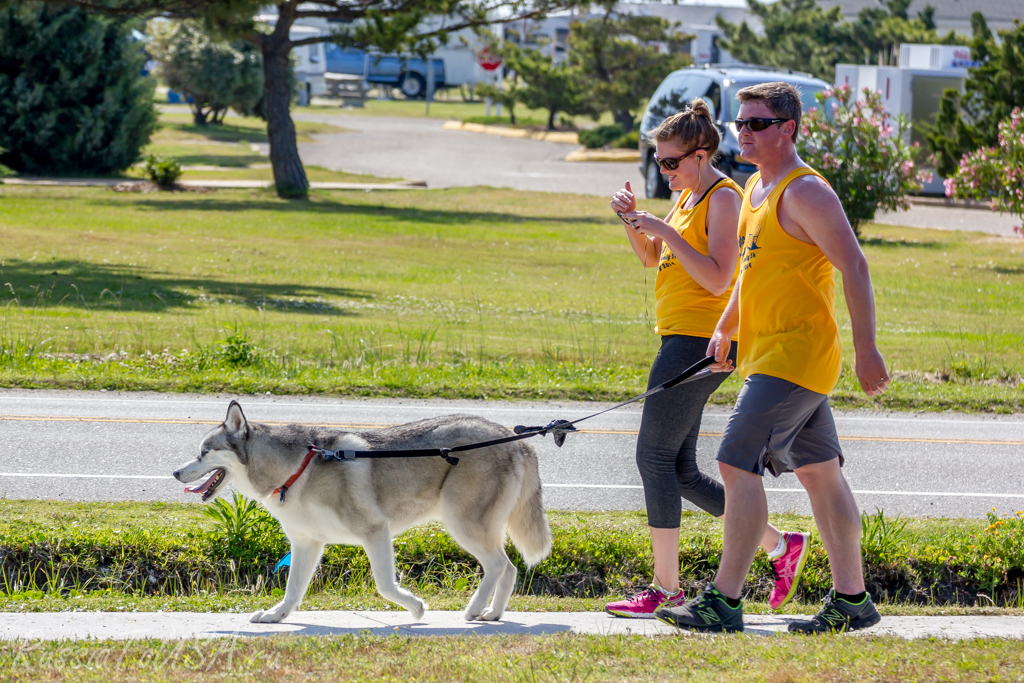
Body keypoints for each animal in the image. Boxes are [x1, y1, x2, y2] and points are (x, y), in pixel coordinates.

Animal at [174, 401, 552, 626]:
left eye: (204, 452)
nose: (176, 473)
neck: (295, 469)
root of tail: (516, 439)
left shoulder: (375, 531)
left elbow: (385, 584)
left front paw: (415, 607)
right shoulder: (307, 544)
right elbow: (293, 591)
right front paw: (277, 615)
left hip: (462, 523)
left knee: (499, 565)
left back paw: (474, 609)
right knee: (510, 568)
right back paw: (493, 612)